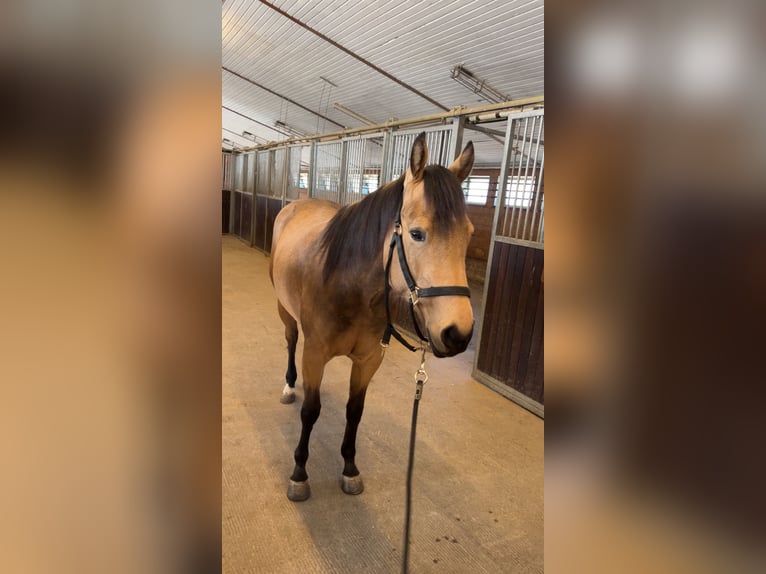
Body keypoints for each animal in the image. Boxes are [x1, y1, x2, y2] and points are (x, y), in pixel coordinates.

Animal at [269, 133, 475, 501]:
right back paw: (290, 386)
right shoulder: (315, 354)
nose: (458, 334)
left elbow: (355, 411)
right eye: (417, 234)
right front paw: (299, 473)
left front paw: (350, 468)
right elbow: (311, 411)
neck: (347, 284)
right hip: (285, 311)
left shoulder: (369, 359)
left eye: (469, 233)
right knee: (291, 342)